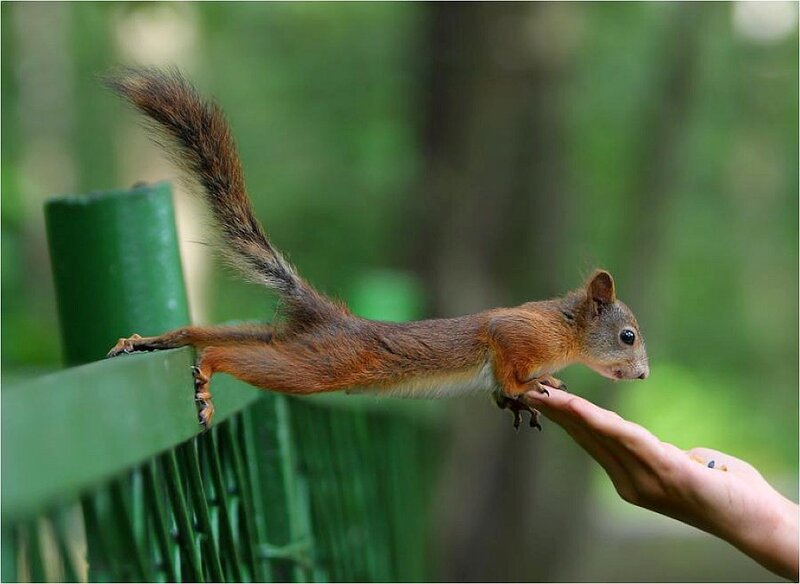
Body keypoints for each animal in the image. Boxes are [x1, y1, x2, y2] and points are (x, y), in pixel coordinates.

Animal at [105, 68, 649, 430]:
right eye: (627, 337)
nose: (643, 374)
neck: (566, 328)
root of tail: (336, 319)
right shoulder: (518, 333)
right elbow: (506, 360)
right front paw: (529, 388)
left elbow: (500, 390)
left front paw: (522, 398)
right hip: (324, 364)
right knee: (227, 352)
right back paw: (206, 372)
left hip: (290, 340)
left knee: (211, 334)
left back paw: (148, 341)